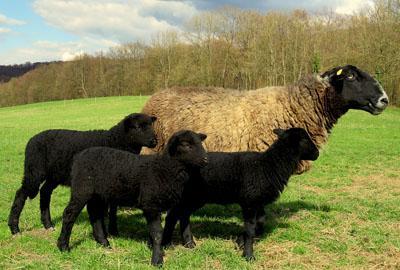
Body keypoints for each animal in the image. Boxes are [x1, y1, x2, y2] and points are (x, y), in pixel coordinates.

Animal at [7, 112, 158, 234]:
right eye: (137, 127)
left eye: (151, 125)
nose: (154, 141)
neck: (114, 141)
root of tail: (32, 140)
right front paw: (106, 231)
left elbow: (113, 208)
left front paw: (113, 231)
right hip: (34, 171)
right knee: (21, 193)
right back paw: (14, 228)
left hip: (54, 175)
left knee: (45, 192)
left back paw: (48, 225)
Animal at [57, 130, 208, 266]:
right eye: (186, 145)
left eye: (200, 143)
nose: (206, 160)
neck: (164, 169)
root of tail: (79, 156)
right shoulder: (151, 204)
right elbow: (157, 233)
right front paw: (157, 260)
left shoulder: (155, 206)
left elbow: (154, 232)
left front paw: (152, 247)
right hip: (82, 188)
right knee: (69, 214)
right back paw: (63, 246)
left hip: (98, 193)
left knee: (95, 214)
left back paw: (103, 242)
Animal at [161, 127, 320, 260]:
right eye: (304, 139)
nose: (317, 154)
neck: (269, 165)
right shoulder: (249, 202)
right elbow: (250, 229)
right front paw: (248, 255)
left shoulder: (257, 202)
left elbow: (259, 222)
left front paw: (240, 242)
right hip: (187, 196)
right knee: (172, 216)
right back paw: (166, 244)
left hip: (195, 198)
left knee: (184, 215)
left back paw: (189, 243)